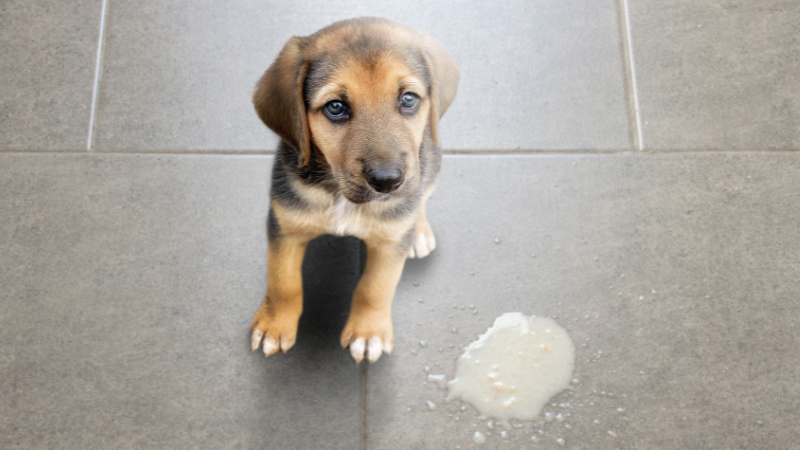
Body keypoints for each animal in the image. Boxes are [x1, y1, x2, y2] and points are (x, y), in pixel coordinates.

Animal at [250, 17, 462, 364]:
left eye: (408, 100)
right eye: (335, 107)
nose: (387, 181)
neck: (339, 195)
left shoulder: (390, 244)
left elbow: (375, 288)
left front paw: (368, 332)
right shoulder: (284, 226)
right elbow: (283, 282)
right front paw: (274, 324)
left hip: (430, 166)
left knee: (420, 199)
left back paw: (419, 232)